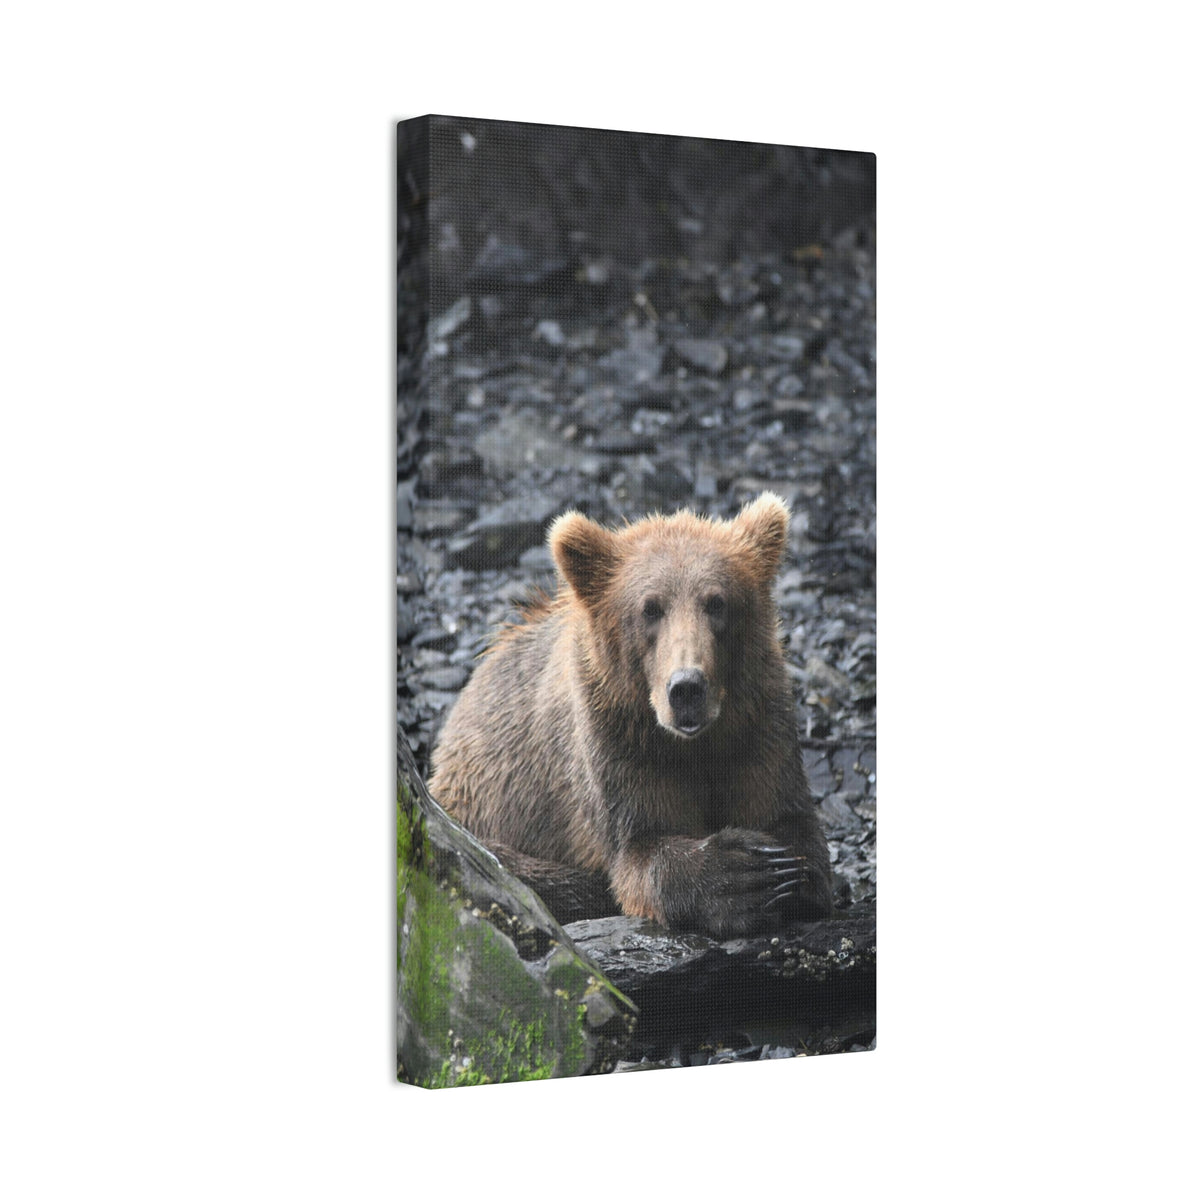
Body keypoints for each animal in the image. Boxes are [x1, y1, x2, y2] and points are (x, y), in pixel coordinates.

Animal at [428, 493, 833, 939]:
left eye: (717, 602)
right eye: (650, 608)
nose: (686, 688)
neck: (694, 744)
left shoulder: (757, 725)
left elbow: (789, 819)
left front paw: (785, 872)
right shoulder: (617, 743)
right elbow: (641, 848)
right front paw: (743, 875)